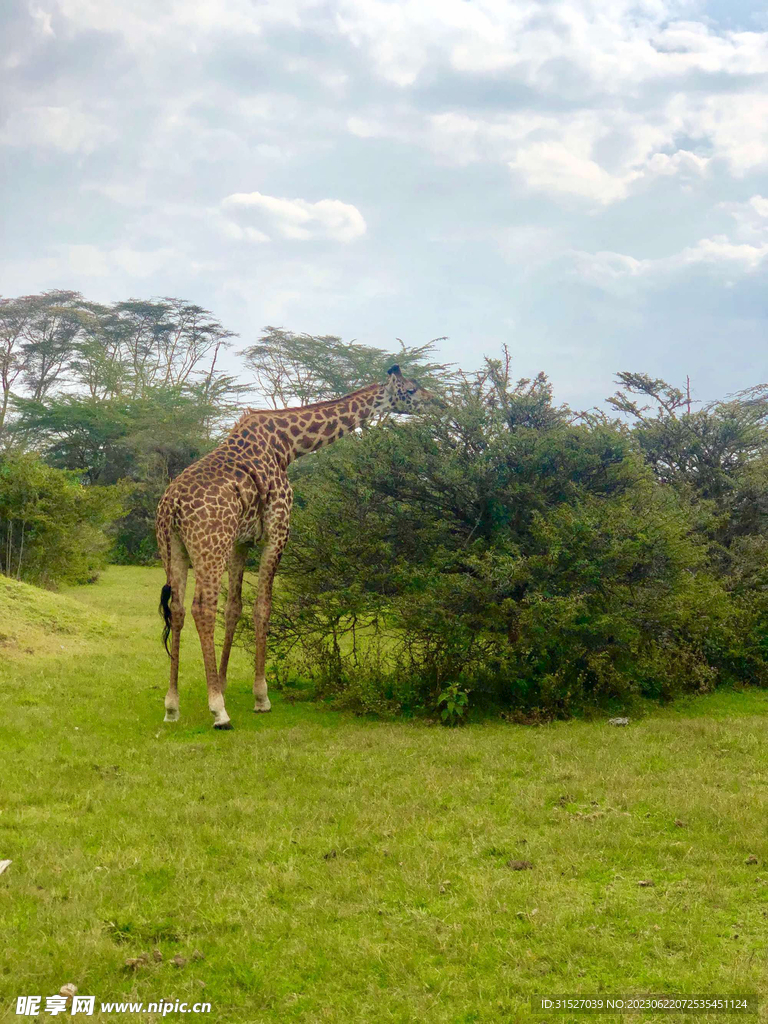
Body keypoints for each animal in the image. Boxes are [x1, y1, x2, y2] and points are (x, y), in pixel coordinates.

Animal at [154, 366, 438, 729]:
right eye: (412, 389)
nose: (438, 402)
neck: (288, 446)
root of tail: (171, 507)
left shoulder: (241, 542)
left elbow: (235, 608)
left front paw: (223, 681)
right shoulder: (277, 531)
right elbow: (263, 607)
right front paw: (259, 697)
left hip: (173, 548)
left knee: (176, 609)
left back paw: (172, 705)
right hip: (210, 547)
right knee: (201, 608)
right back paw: (219, 712)